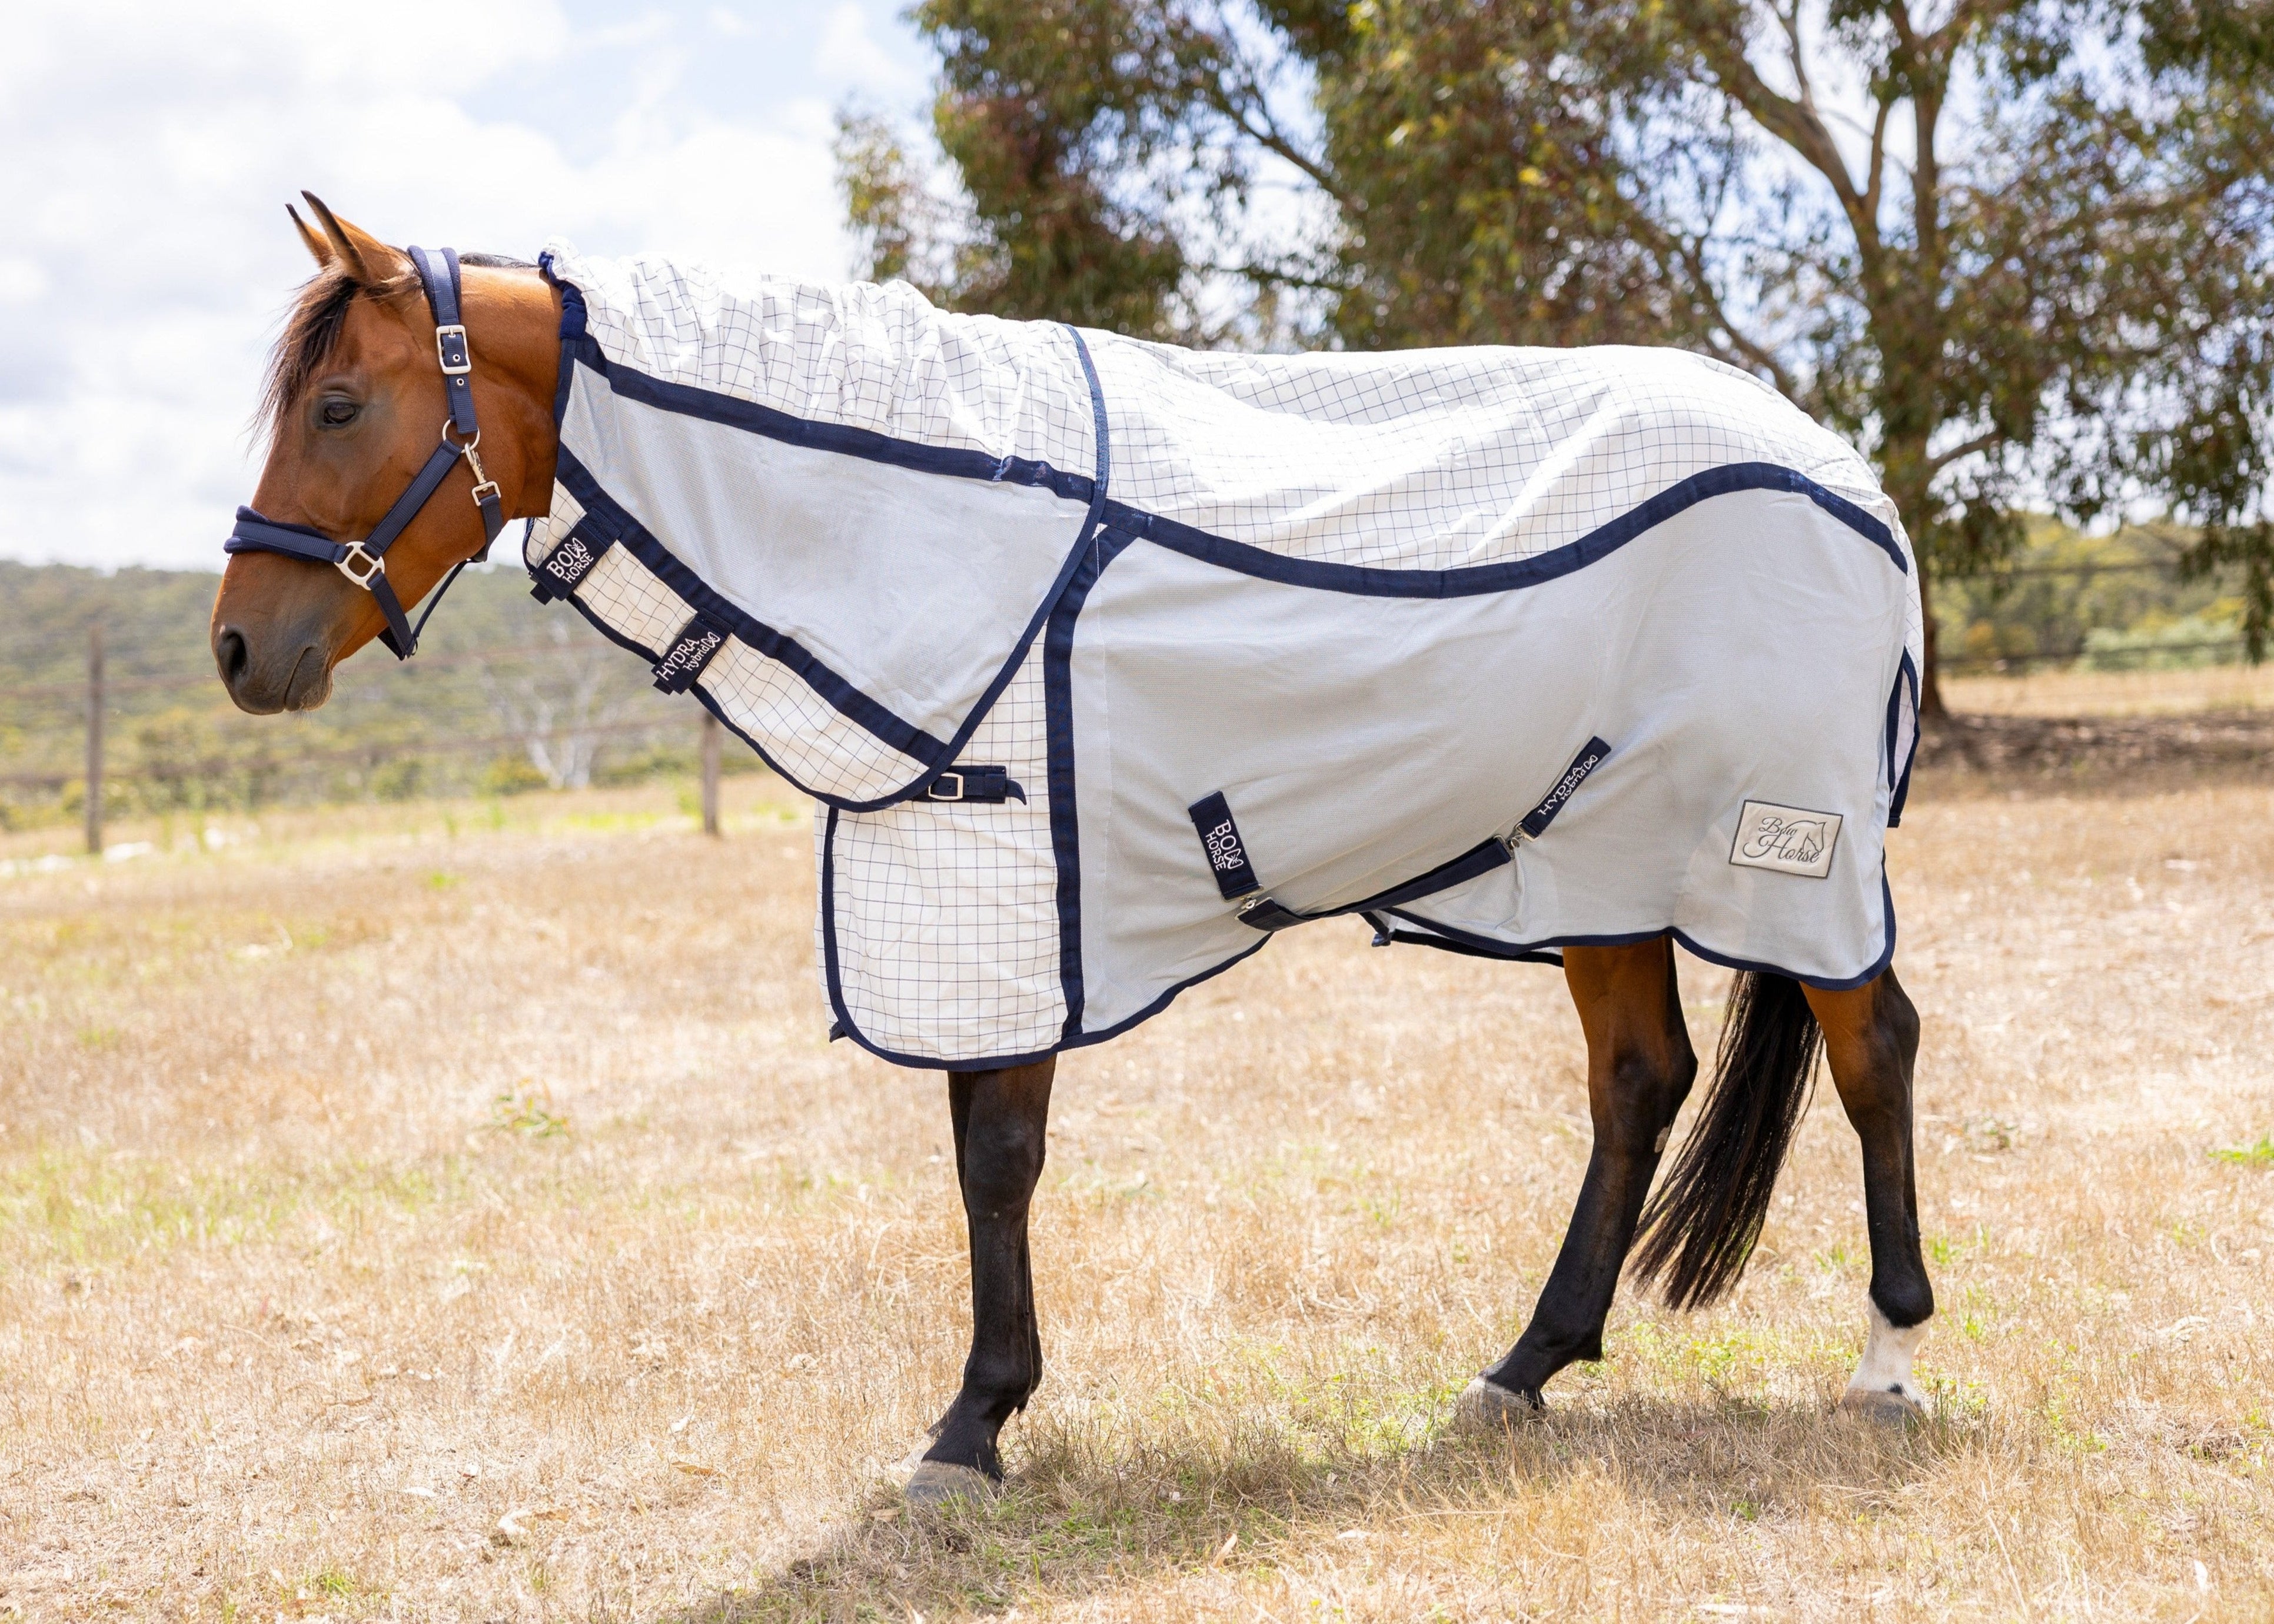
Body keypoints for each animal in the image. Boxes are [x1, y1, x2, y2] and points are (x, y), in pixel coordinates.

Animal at [211, 195, 1934, 1504]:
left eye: (341, 406)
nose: (239, 648)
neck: (930, 514)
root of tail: (1843, 470)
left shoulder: (1013, 898)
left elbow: (997, 1160)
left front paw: (971, 1427)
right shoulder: (962, 903)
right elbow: (981, 1156)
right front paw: (985, 1412)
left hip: (1787, 855)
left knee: (1873, 1051)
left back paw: (1891, 1360)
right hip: (1596, 865)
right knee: (1639, 1079)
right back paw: (1522, 1370)